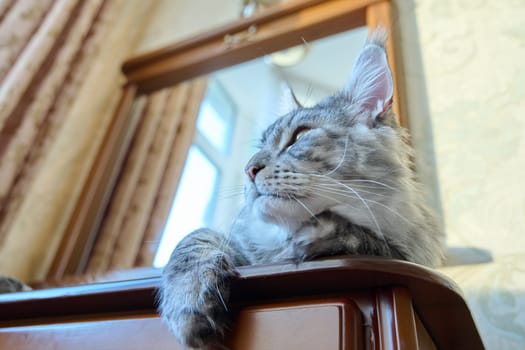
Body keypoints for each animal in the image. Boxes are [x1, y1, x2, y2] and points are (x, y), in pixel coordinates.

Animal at [160, 30, 442, 350]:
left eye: (299, 136)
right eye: (260, 147)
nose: (249, 169)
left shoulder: (403, 255)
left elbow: (366, 241)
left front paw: (321, 236)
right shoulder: (238, 246)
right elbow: (194, 239)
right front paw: (189, 299)